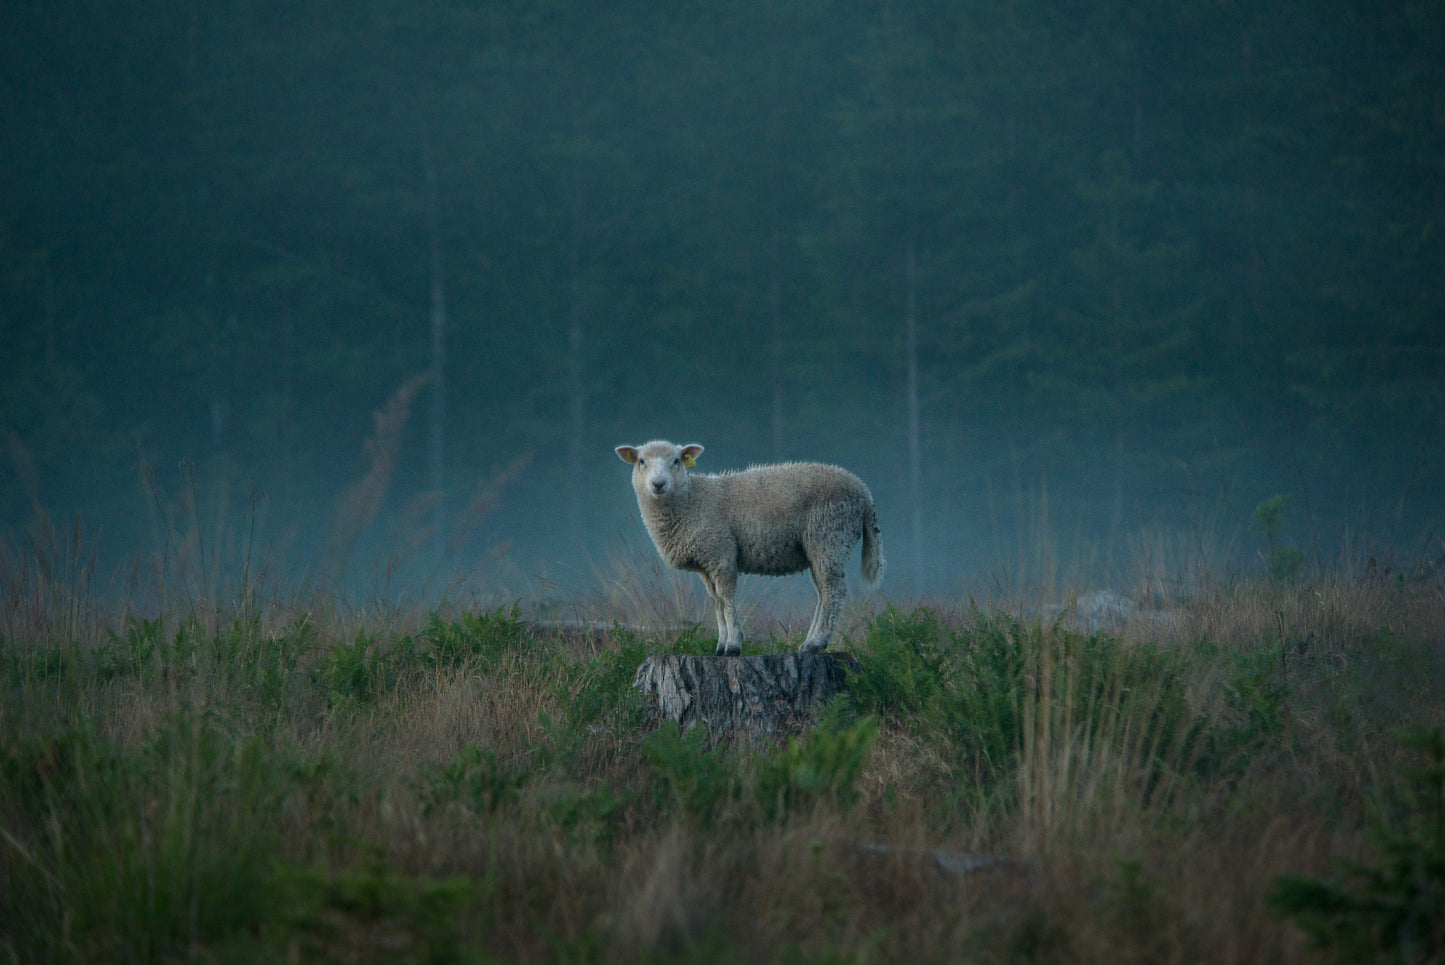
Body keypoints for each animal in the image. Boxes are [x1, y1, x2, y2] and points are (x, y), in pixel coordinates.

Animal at [609, 442, 878, 655]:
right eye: (641, 461)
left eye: (676, 461)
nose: (658, 484)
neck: (691, 501)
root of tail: (864, 493)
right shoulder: (706, 563)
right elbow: (716, 602)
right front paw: (720, 645)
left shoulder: (721, 553)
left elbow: (727, 599)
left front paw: (733, 645)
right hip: (819, 547)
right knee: (824, 593)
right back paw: (808, 643)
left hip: (830, 535)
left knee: (834, 592)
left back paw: (817, 644)